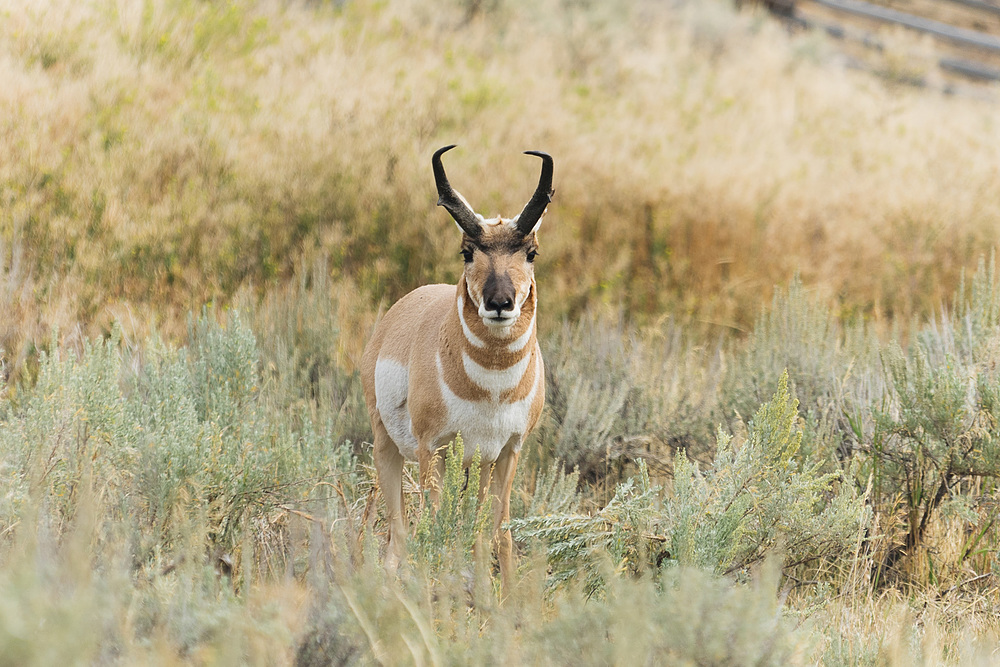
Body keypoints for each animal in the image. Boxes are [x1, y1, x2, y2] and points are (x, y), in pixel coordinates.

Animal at [362, 145, 556, 584]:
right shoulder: (432, 448)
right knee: (398, 532)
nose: (500, 303)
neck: (493, 388)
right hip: (389, 446)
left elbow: (497, 533)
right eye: (468, 251)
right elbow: (436, 528)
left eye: (531, 252)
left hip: (474, 464)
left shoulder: (507, 451)